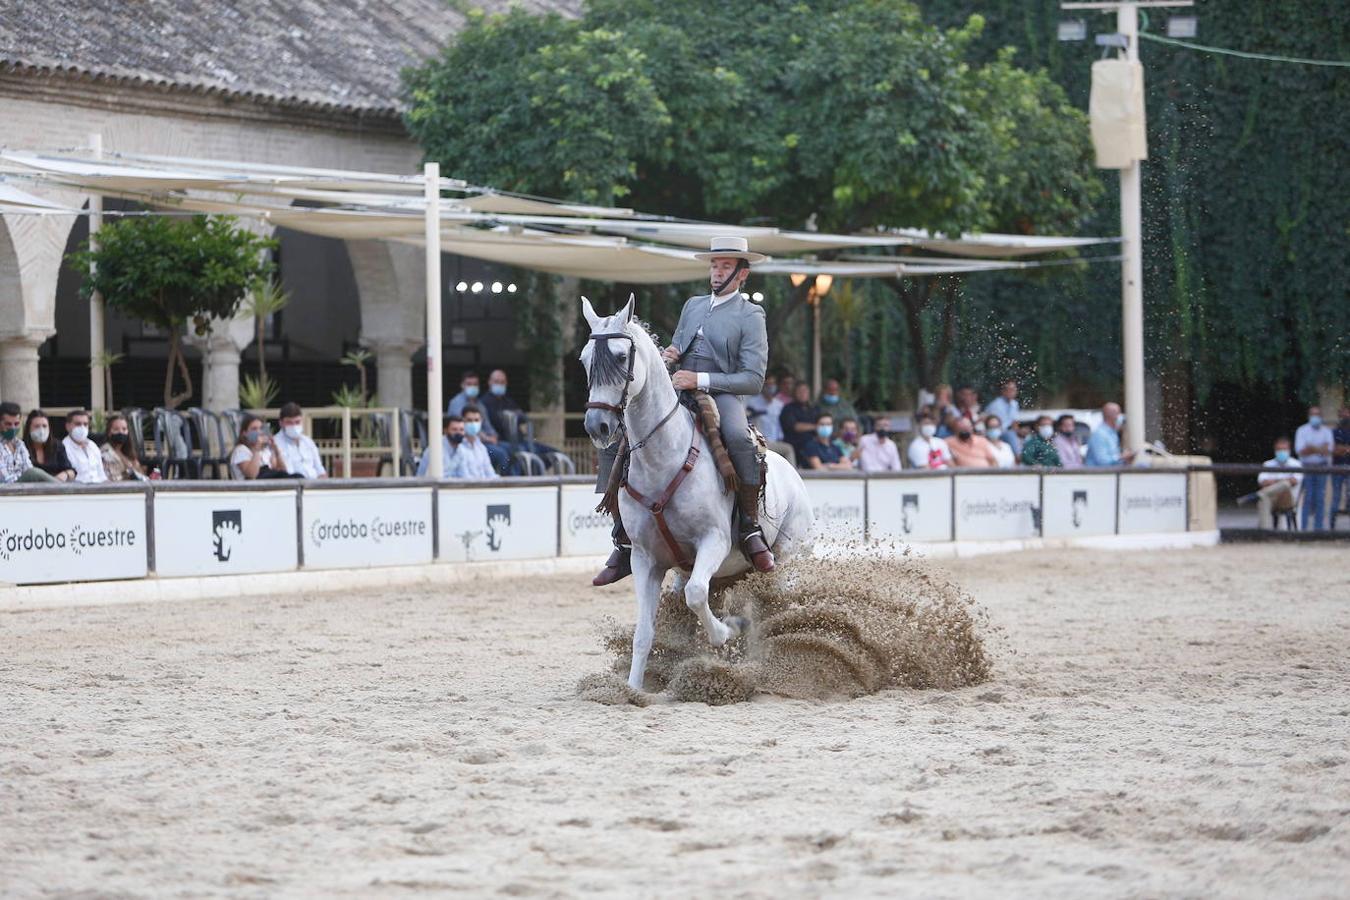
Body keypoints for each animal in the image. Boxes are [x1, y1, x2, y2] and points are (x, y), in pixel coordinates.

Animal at [577, 295, 810, 690]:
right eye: (584, 359)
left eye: (622, 357)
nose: (598, 425)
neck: (664, 460)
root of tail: (793, 474)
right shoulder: (645, 559)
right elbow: (645, 631)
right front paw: (632, 689)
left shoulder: (713, 541)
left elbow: (696, 596)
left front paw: (726, 632)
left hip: (786, 560)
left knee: (774, 606)